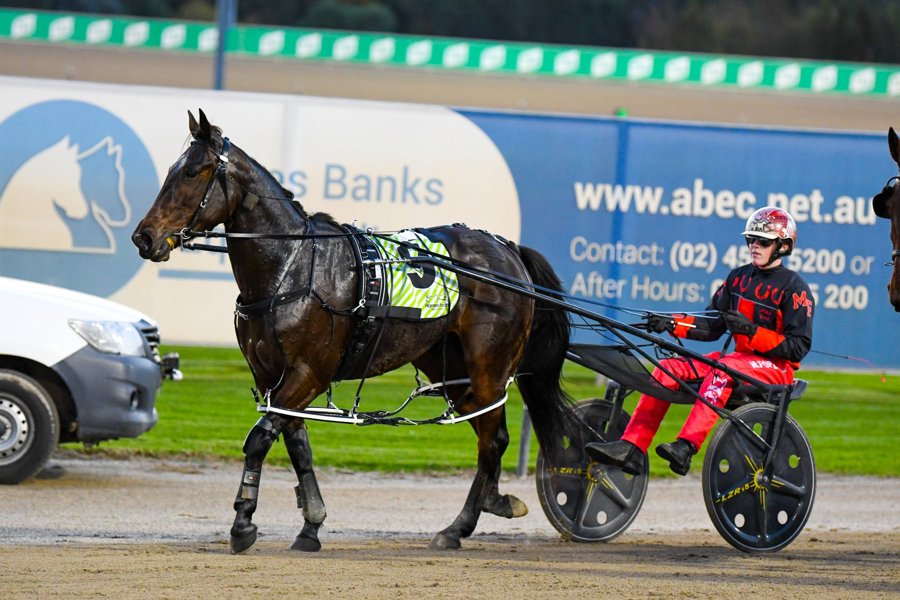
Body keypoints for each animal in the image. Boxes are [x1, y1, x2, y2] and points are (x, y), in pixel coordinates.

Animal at [131, 109, 586, 553]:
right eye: (172, 170)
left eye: (193, 172)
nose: (144, 237)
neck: (293, 268)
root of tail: (507, 249)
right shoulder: (271, 376)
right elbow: (297, 446)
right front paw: (311, 525)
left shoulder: (308, 373)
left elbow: (259, 439)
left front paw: (243, 522)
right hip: (451, 368)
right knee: (486, 435)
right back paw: (493, 501)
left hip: (489, 367)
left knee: (493, 440)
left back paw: (458, 527)